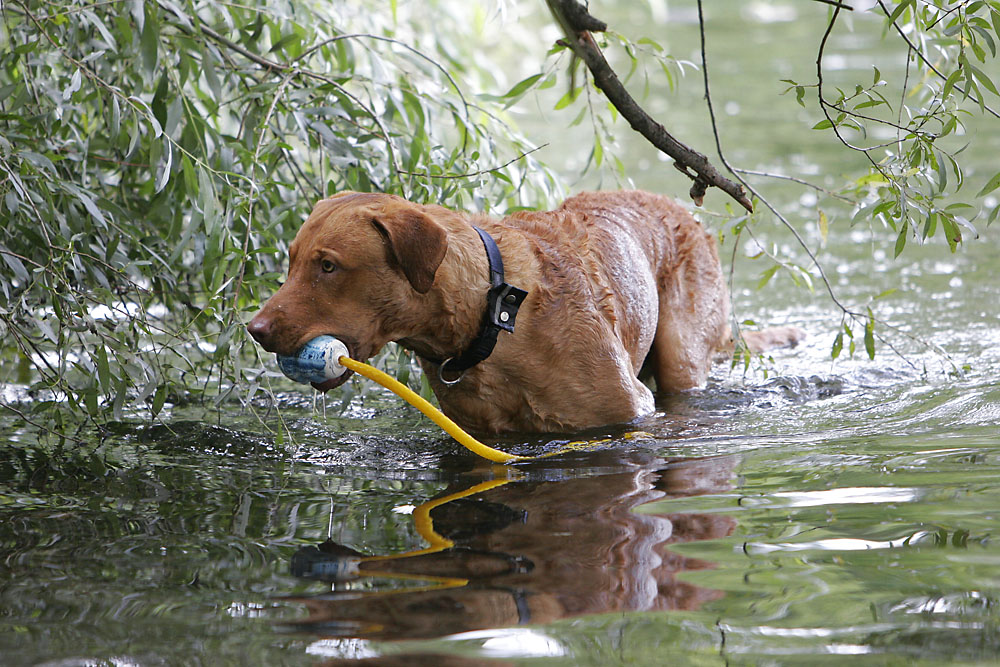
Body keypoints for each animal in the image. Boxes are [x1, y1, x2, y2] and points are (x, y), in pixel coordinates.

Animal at [250, 192, 804, 434]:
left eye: (328, 266)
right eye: (292, 261)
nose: (255, 329)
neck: (493, 317)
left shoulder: (625, 411)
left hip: (682, 355)